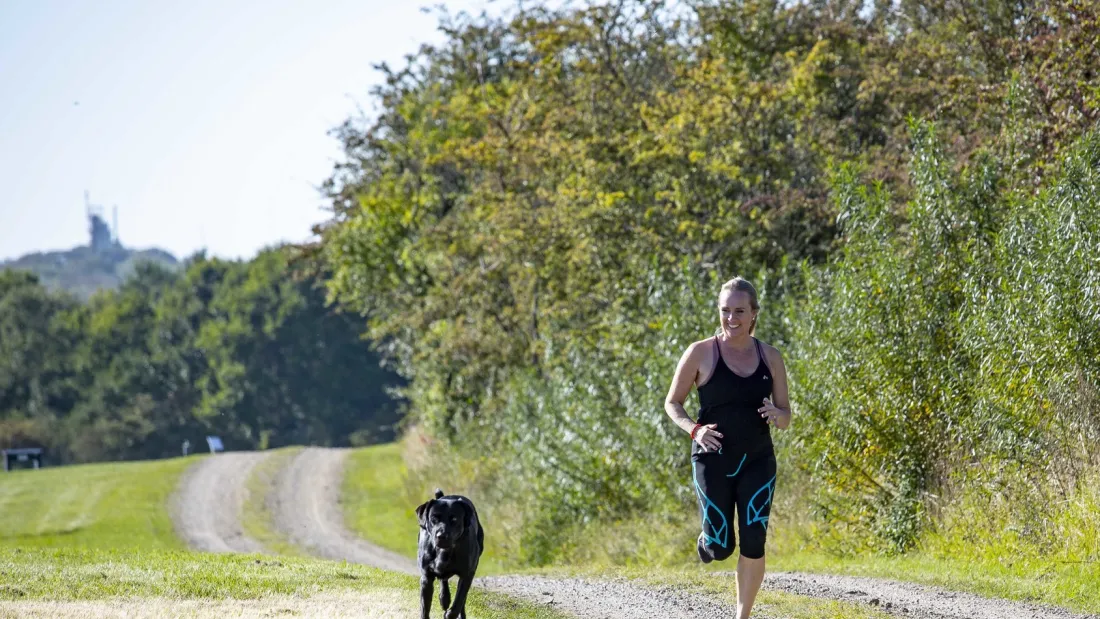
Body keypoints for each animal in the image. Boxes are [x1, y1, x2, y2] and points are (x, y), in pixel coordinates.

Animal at [413, 490, 484, 619]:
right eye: (434, 518)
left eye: (454, 519)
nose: (441, 535)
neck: (444, 551)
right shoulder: (426, 577)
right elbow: (425, 607)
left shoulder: (467, 575)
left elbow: (459, 601)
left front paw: (450, 614)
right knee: (443, 580)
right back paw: (444, 598)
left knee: (462, 601)